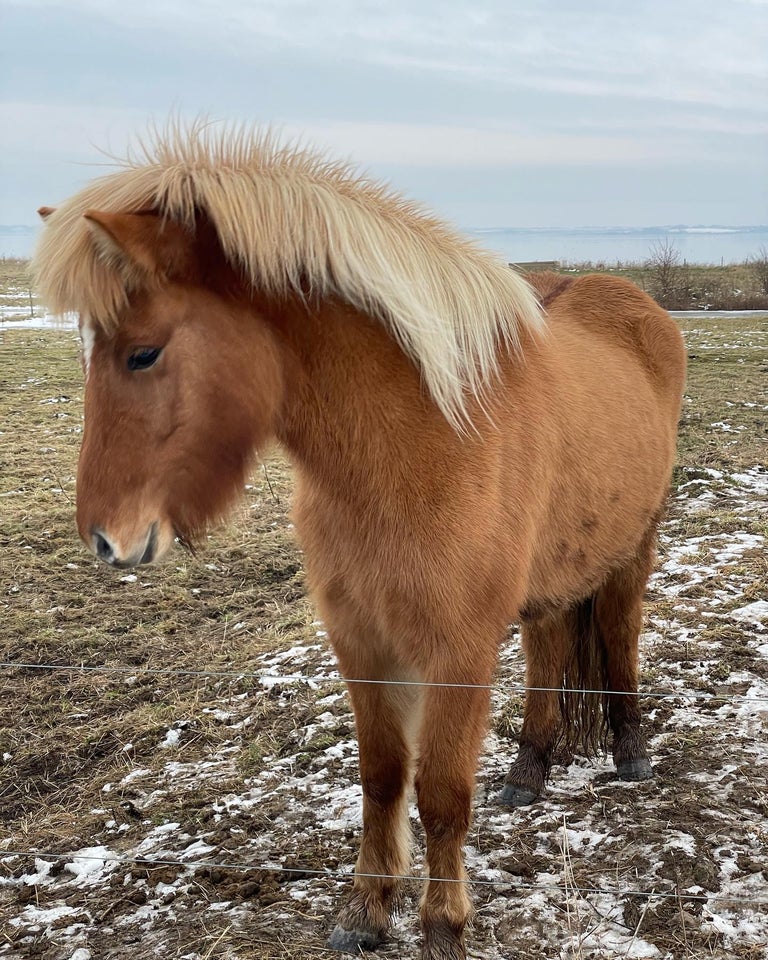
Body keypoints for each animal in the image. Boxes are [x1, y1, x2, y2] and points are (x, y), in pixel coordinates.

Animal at [33, 125, 688, 960]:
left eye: (142, 353)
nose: (105, 538)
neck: (423, 439)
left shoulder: (458, 652)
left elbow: (441, 793)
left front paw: (442, 926)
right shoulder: (361, 639)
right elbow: (381, 777)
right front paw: (366, 909)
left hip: (635, 548)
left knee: (619, 634)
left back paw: (632, 754)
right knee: (548, 650)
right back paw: (529, 769)